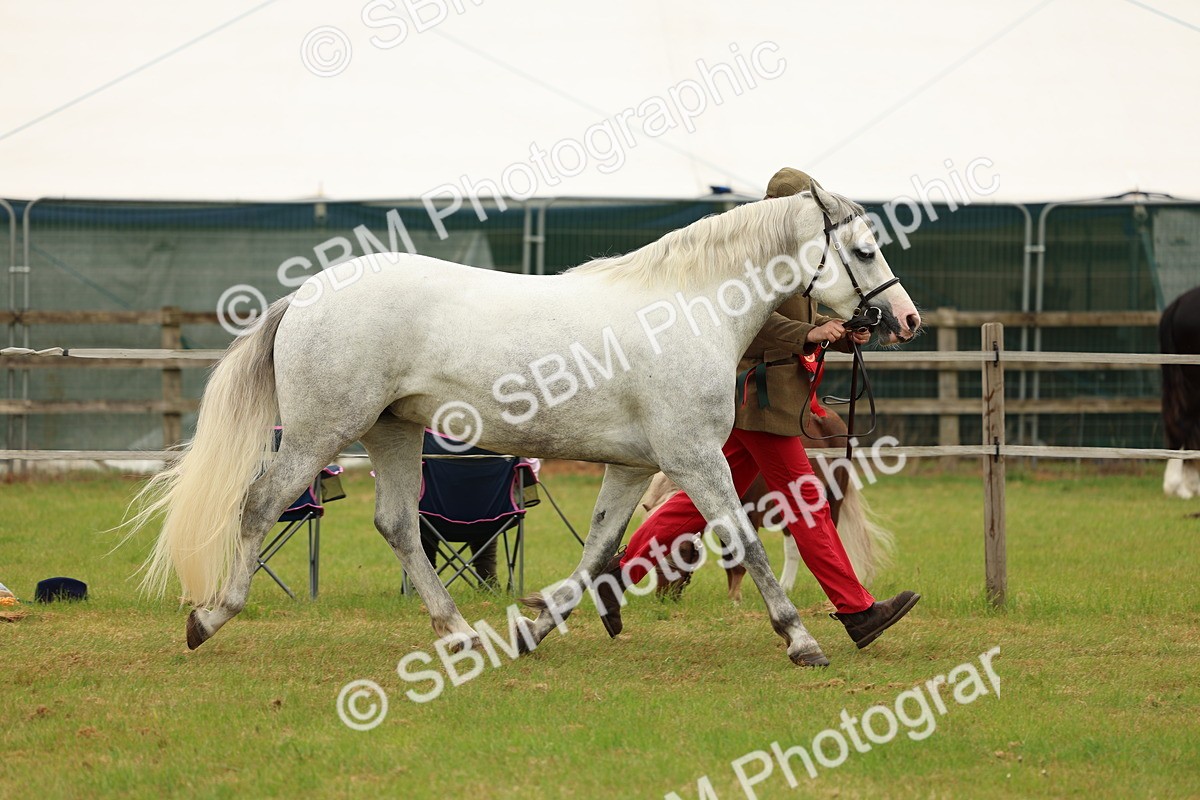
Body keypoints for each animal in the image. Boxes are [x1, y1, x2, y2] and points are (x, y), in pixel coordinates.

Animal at [639, 407, 894, 602]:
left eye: (683, 551)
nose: (664, 597)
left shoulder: (748, 514)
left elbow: (738, 561)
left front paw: (735, 598)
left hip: (834, 500)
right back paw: (787, 586)